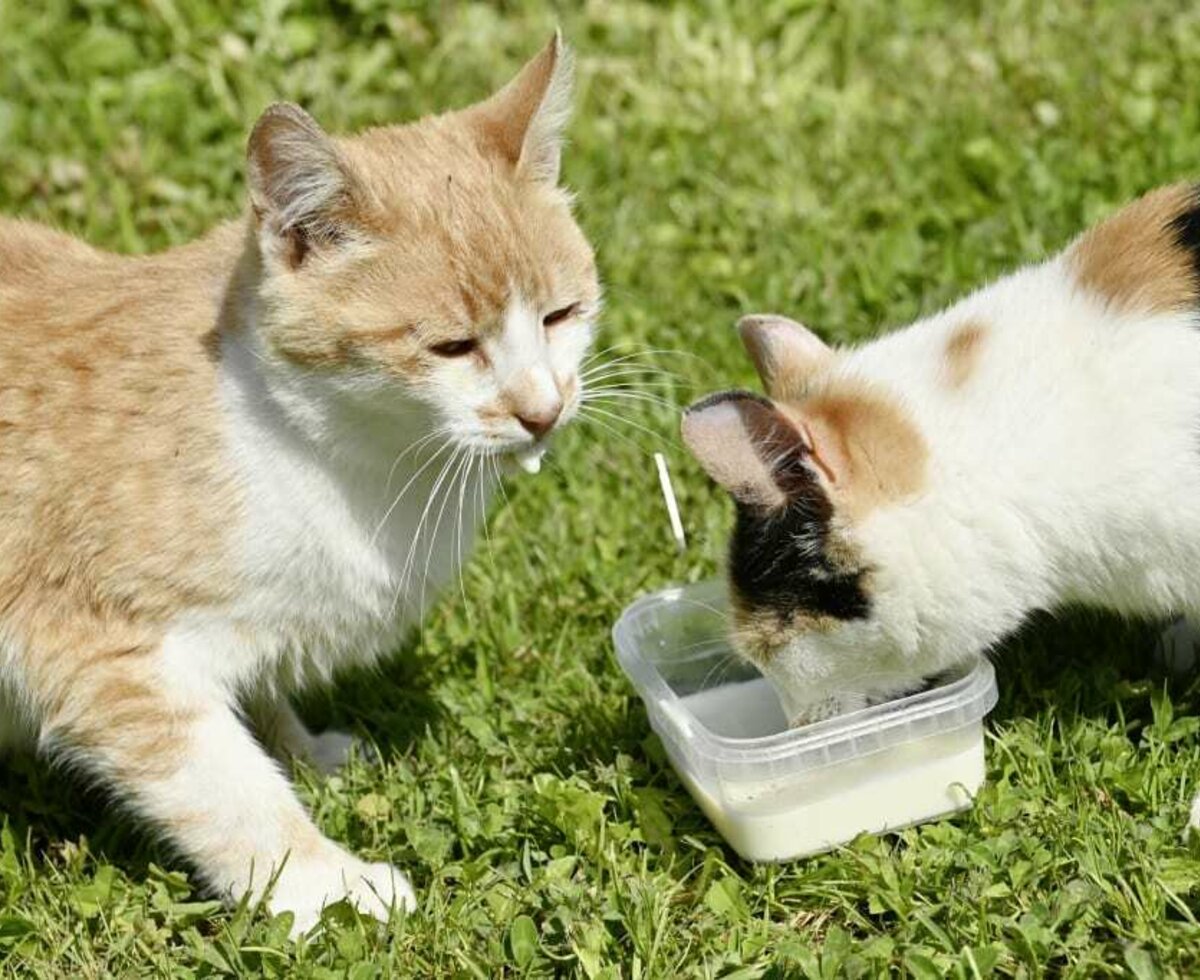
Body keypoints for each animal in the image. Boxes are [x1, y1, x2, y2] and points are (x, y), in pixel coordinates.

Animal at [0, 34, 600, 930]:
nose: (543, 408)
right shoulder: (99, 649)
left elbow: (258, 709)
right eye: (453, 347)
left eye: (561, 315)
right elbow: (229, 788)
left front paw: (306, 751)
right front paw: (324, 884)